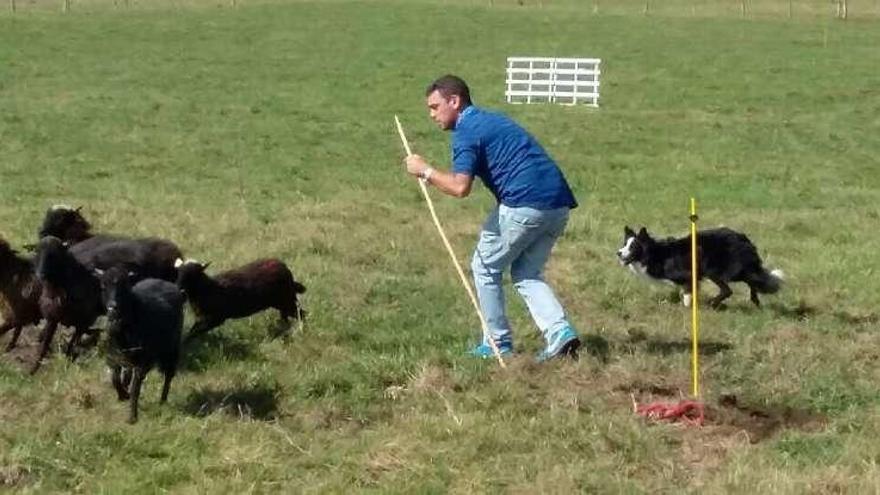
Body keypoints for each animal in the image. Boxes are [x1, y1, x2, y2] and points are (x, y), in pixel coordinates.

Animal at [174, 258, 306, 342]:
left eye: (193, 273)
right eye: (179, 273)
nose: (180, 289)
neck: (208, 288)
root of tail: (284, 267)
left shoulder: (215, 319)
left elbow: (192, 334)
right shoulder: (202, 318)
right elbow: (192, 331)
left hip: (287, 300)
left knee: (302, 314)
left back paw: (301, 331)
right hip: (282, 302)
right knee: (287, 318)